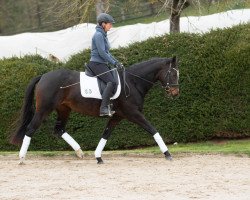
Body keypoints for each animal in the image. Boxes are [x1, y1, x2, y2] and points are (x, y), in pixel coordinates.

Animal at [10, 55, 180, 164]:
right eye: (172, 73)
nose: (175, 93)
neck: (133, 82)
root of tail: (43, 76)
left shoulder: (117, 116)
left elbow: (106, 134)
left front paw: (98, 157)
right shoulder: (133, 114)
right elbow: (152, 129)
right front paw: (167, 154)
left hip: (64, 109)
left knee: (59, 130)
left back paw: (79, 152)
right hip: (44, 109)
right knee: (30, 129)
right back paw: (21, 158)